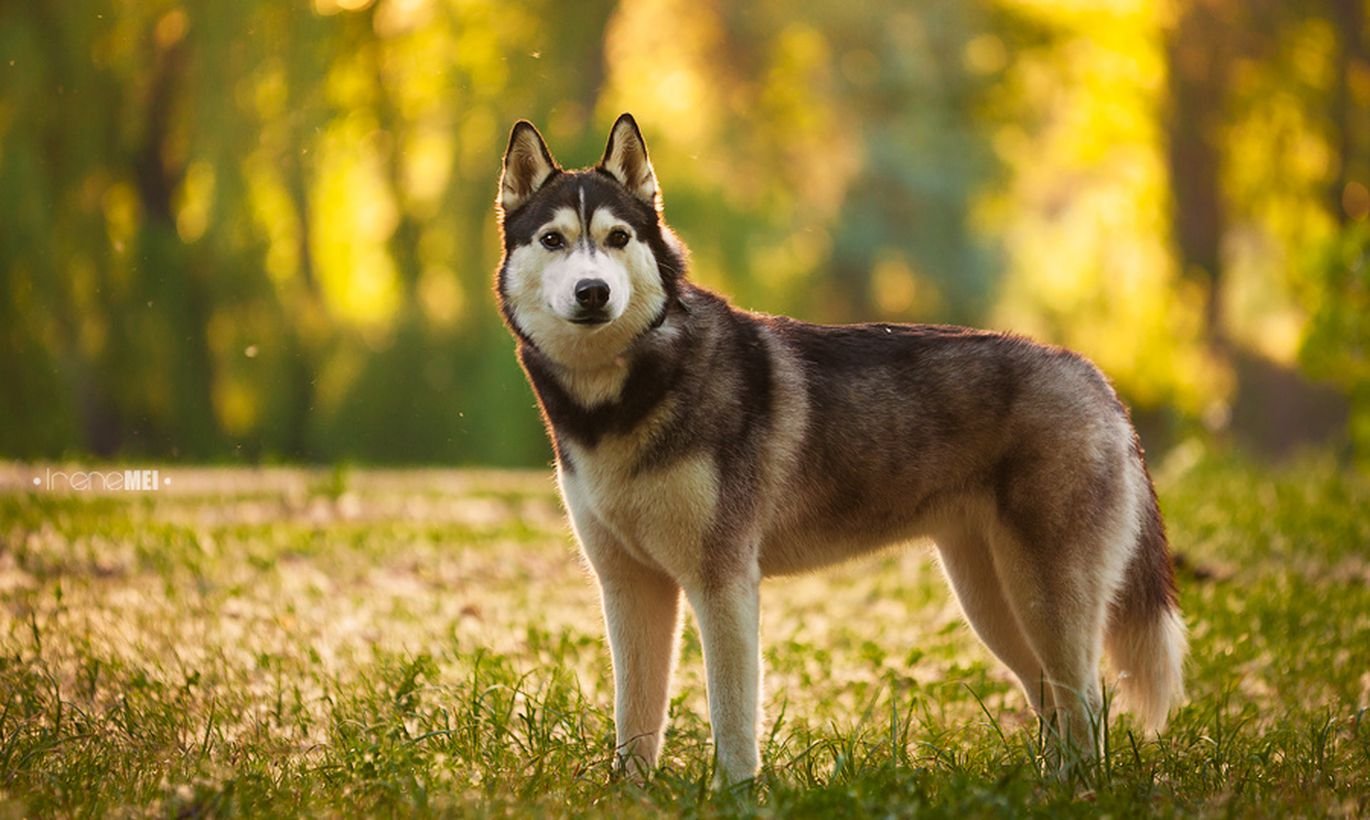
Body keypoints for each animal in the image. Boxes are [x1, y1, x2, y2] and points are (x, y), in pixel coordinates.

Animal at [495, 112, 1189, 788]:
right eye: (553, 240)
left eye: (618, 238)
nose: (593, 292)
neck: (616, 400)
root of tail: (1096, 379)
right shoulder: (628, 584)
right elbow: (635, 715)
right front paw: (631, 793)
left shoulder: (724, 581)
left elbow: (731, 715)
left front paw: (735, 798)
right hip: (991, 598)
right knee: (1052, 700)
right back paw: (1049, 787)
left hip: (1046, 595)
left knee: (1087, 703)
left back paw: (1081, 789)